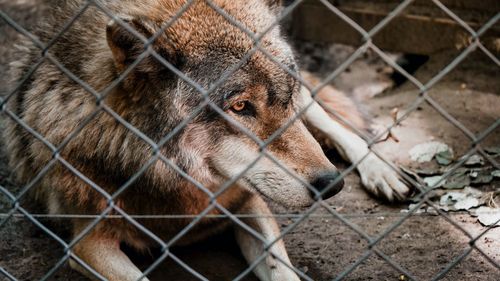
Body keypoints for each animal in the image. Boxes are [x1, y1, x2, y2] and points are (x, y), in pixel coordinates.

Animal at [3, 0, 410, 278]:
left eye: (285, 95)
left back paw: (383, 172)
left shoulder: (250, 202)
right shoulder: (87, 242)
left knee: (330, 121)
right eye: (240, 106)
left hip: (309, 106)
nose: (332, 184)